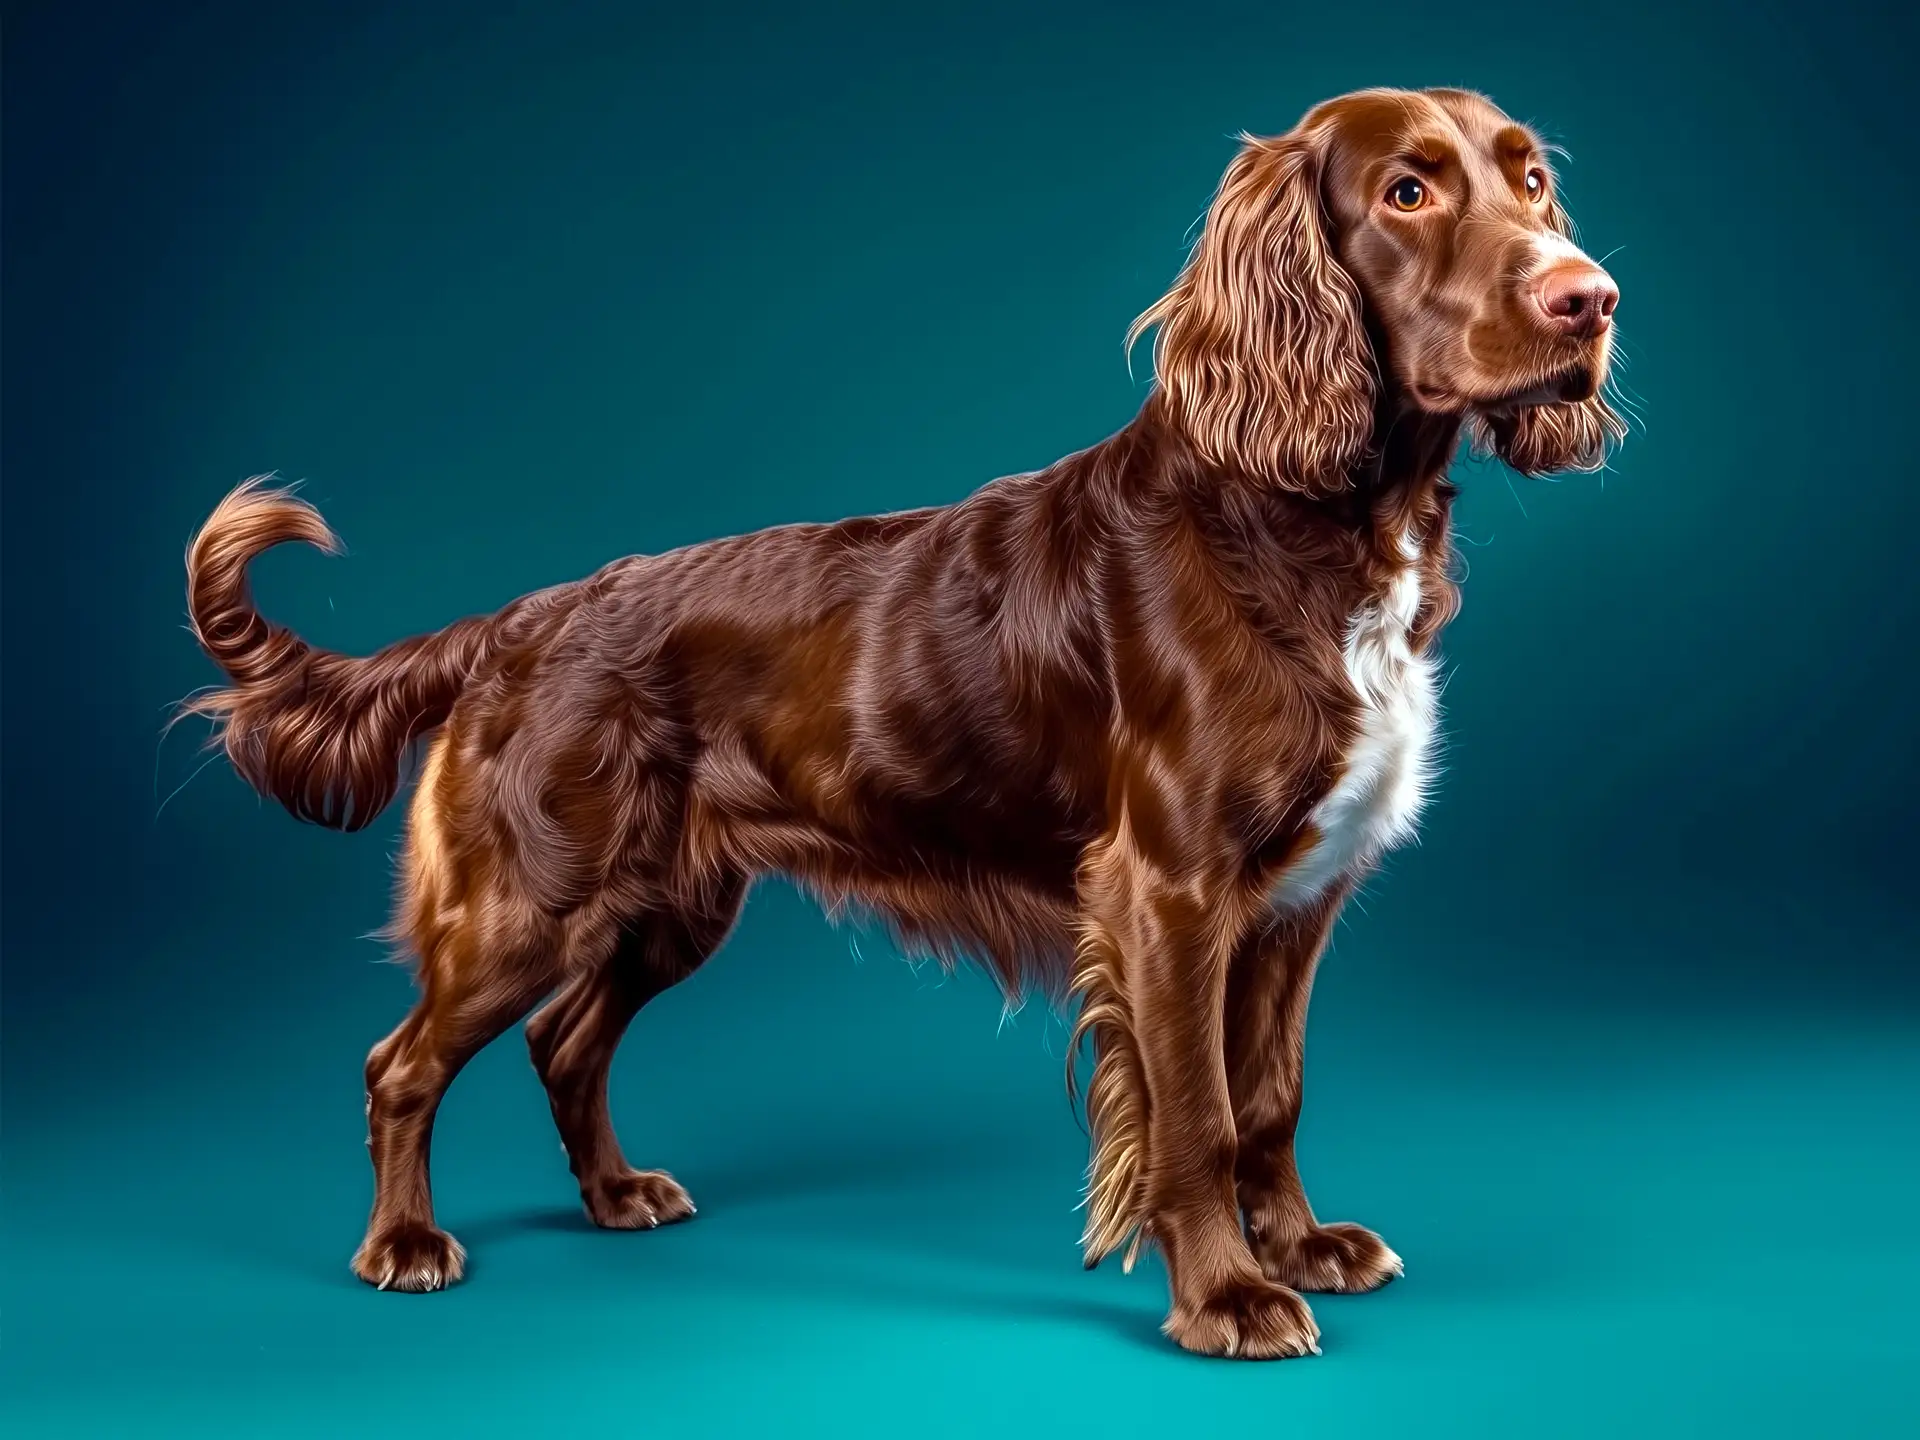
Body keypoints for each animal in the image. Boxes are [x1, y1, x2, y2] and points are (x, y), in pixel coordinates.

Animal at [180, 87, 1620, 1367]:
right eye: (1408, 192)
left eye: (1531, 179)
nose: (1590, 297)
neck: (1304, 524)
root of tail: (516, 621)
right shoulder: (1170, 893)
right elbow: (1198, 1114)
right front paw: (1228, 1298)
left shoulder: (1298, 902)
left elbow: (1270, 1095)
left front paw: (1304, 1247)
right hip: (528, 899)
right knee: (402, 1063)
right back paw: (405, 1246)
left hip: (667, 905)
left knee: (564, 1040)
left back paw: (617, 1195)